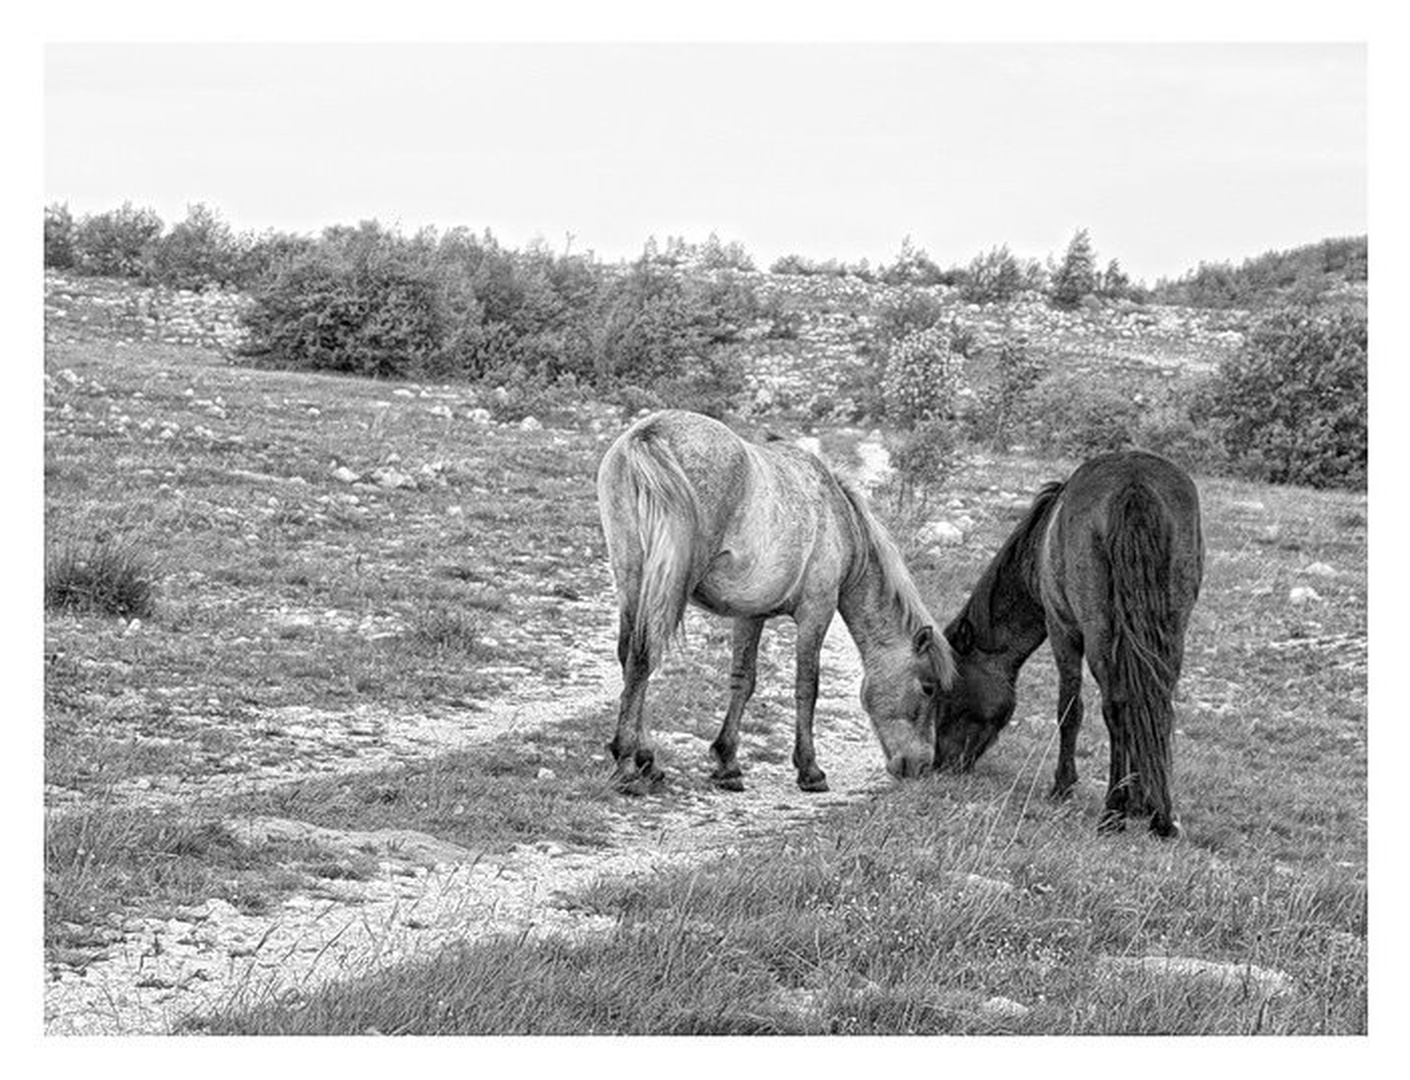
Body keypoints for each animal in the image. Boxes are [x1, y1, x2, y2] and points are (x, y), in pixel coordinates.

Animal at [596, 409, 955, 796]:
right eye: (928, 688)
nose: (921, 766)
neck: (839, 517)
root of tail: (650, 435)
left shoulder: (749, 615)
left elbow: (743, 679)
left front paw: (727, 763)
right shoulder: (816, 611)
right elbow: (807, 686)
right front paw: (810, 770)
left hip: (632, 580)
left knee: (632, 658)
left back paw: (645, 760)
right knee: (643, 657)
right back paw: (628, 763)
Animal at [932, 450, 1203, 837]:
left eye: (948, 697)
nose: (941, 762)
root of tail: (1135, 486)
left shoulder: (1062, 630)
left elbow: (1069, 709)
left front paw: (1063, 786)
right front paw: (1140, 801)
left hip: (1098, 631)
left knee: (1117, 707)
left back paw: (1113, 813)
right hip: (1171, 627)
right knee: (1156, 703)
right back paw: (1159, 816)